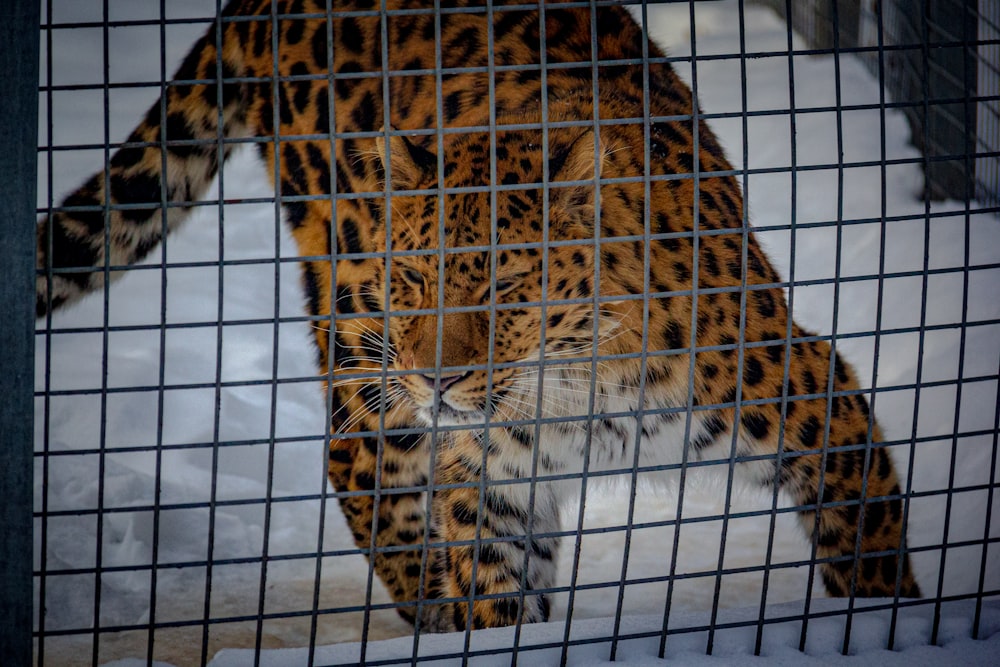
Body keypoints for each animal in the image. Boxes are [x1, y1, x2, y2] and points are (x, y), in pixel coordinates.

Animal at [35, 0, 916, 636]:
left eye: (503, 288)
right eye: (416, 280)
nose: (436, 380)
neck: (580, 388)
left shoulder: (820, 398)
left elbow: (868, 545)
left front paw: (884, 626)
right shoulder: (490, 485)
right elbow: (498, 596)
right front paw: (483, 625)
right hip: (350, 302)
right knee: (355, 455)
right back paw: (429, 599)